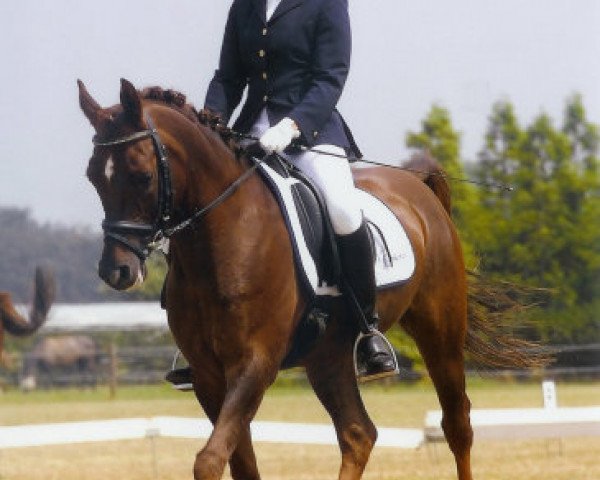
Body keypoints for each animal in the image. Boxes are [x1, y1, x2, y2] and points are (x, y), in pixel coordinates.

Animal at [78, 79, 536, 480]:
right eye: (93, 177)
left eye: (142, 175)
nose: (115, 271)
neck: (224, 237)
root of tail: (419, 188)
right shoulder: (208, 374)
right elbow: (239, 462)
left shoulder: (255, 363)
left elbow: (209, 461)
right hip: (328, 356)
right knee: (358, 434)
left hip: (439, 331)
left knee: (457, 425)